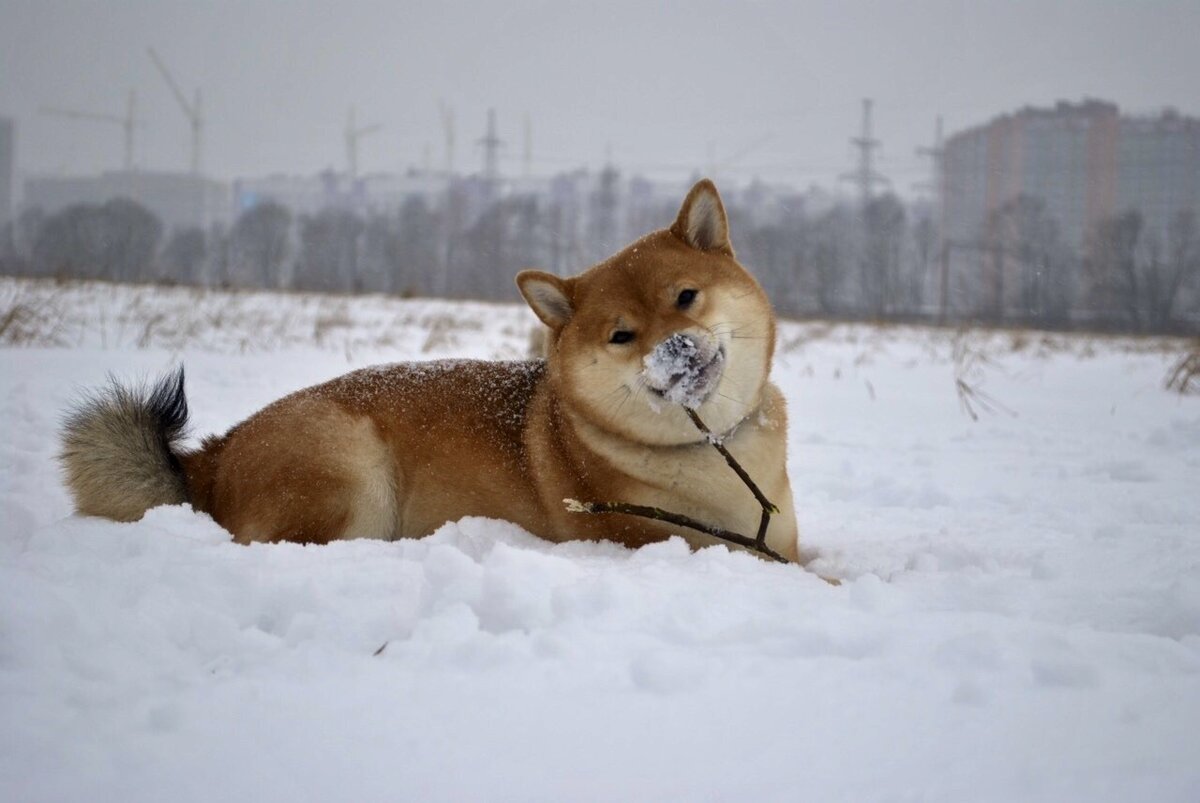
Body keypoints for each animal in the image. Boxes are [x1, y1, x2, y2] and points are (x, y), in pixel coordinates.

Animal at [60, 178, 801, 561]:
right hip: (349, 468)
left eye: (686, 296)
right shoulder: (672, 541)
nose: (675, 349)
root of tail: (217, 454)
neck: (712, 447)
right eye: (622, 334)